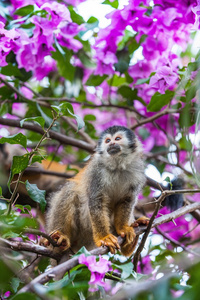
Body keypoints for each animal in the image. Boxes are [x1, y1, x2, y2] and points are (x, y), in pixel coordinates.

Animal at [44, 126, 148, 258]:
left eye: (117, 139)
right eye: (107, 141)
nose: (112, 144)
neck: (117, 166)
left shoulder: (137, 171)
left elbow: (127, 200)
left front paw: (124, 228)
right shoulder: (96, 171)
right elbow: (96, 200)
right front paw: (104, 237)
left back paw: (131, 242)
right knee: (71, 191)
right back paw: (61, 237)